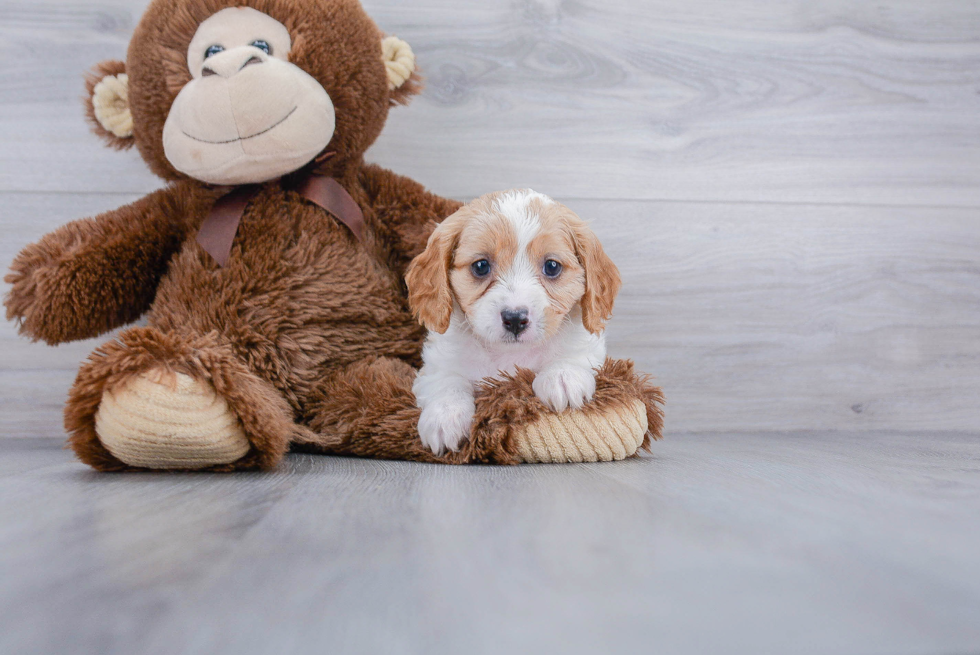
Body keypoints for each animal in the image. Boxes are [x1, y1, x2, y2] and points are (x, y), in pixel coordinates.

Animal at [404, 190, 620, 456]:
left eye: (552, 266)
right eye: (481, 266)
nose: (515, 318)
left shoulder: (590, 349)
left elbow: (575, 354)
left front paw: (562, 377)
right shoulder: (435, 365)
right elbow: (447, 381)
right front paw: (445, 416)